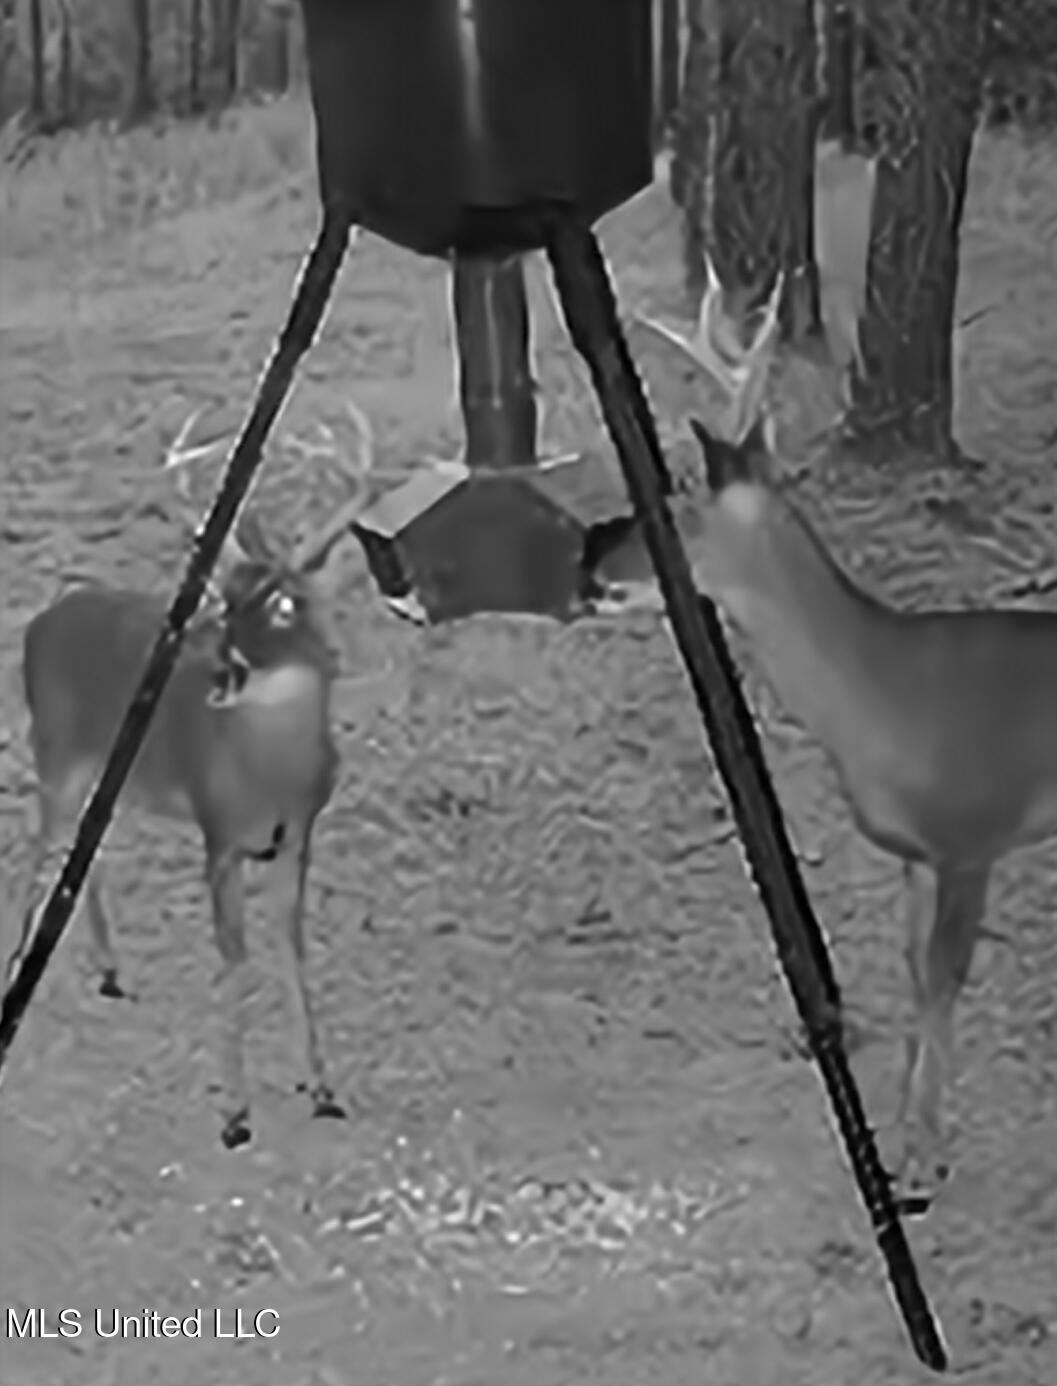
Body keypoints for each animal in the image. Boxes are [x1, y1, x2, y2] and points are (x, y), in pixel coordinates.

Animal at [6, 403, 375, 1150]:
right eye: (225, 599)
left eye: (287, 604)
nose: (227, 667)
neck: (269, 774)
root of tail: (41, 619)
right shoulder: (219, 834)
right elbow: (233, 957)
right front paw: (235, 1113)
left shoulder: (298, 836)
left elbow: (291, 949)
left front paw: (321, 1087)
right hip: (53, 749)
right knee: (36, 851)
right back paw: (16, 974)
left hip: (103, 767)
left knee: (87, 849)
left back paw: (110, 970)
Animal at [606, 255, 1057, 1208]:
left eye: (677, 502)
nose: (593, 562)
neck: (886, 698)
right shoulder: (916, 854)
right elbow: (914, 973)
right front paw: (907, 1134)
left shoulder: (974, 834)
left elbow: (943, 980)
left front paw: (920, 1161)